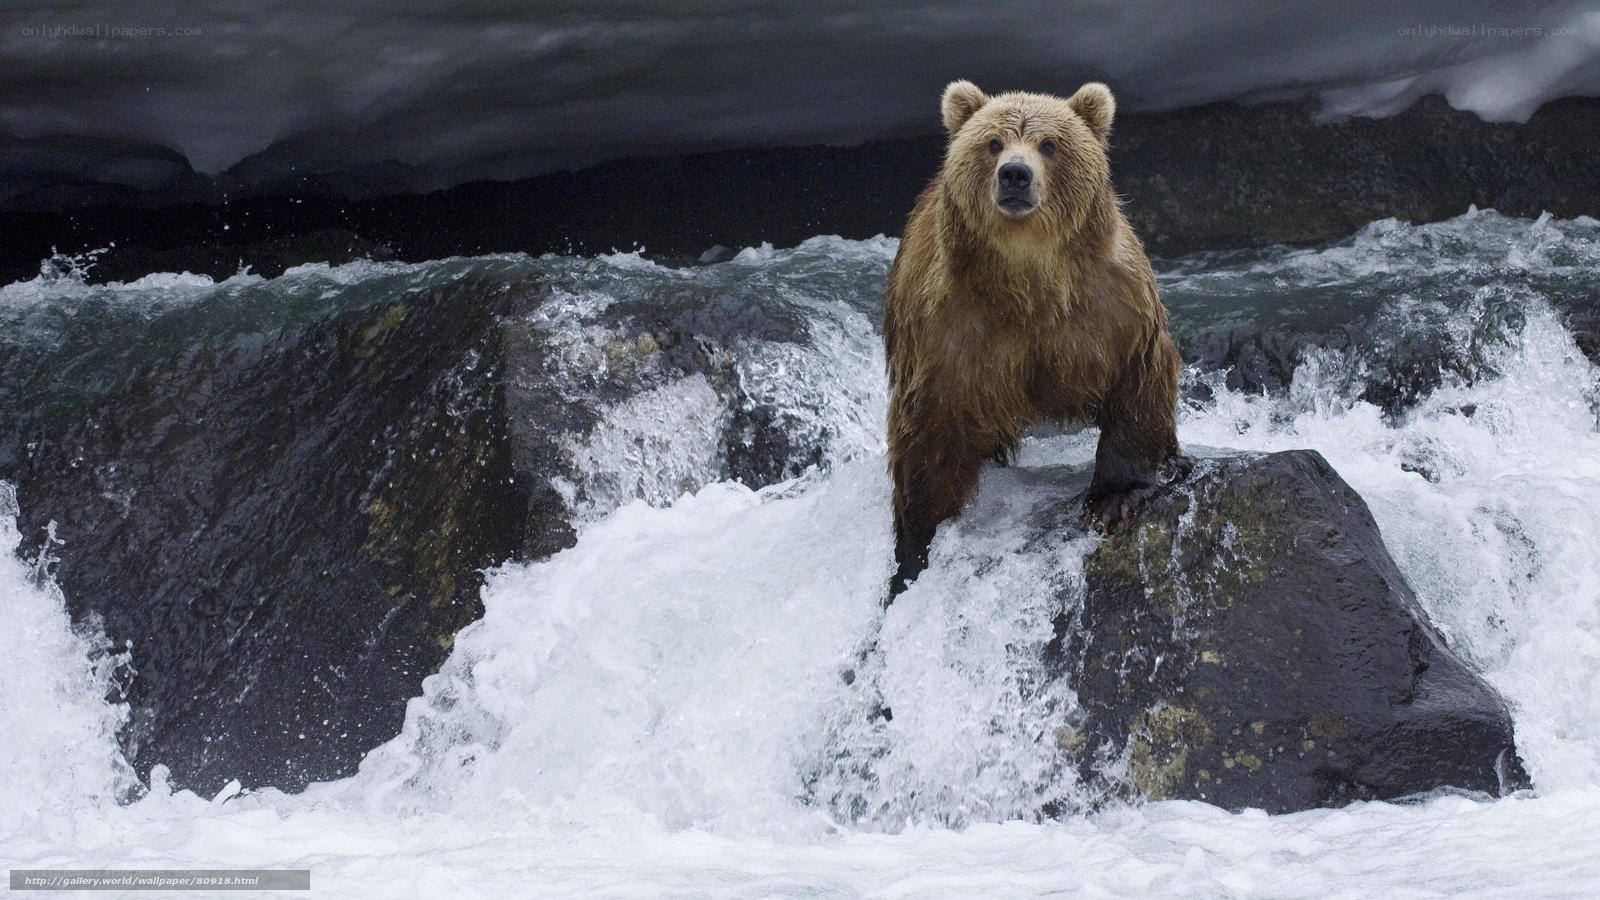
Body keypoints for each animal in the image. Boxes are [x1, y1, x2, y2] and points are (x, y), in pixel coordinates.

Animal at [884, 80, 1182, 596]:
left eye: (1049, 144)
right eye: (993, 143)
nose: (1015, 175)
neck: (1028, 281)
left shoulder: (1111, 305)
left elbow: (1137, 382)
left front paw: (1112, 500)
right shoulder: (947, 329)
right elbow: (928, 432)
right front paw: (915, 545)